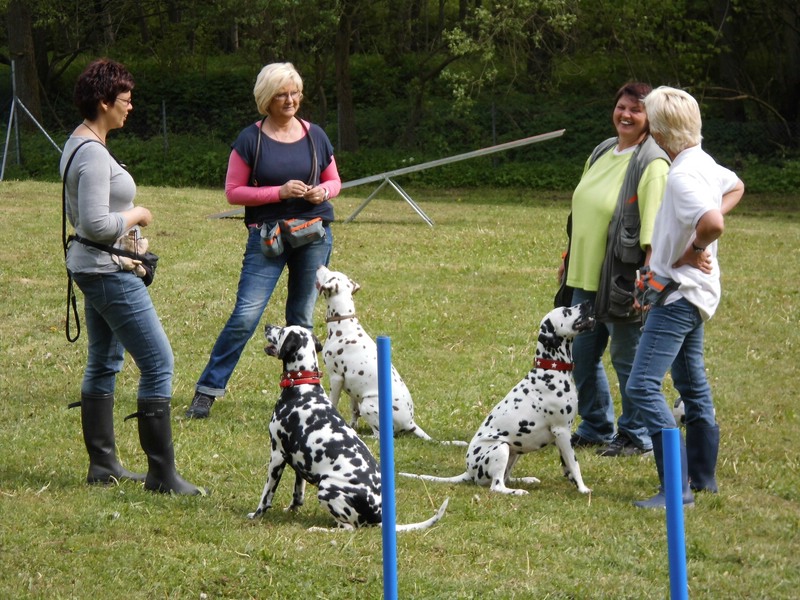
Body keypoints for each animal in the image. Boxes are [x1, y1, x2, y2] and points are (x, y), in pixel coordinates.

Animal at [248, 326, 446, 532]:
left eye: (282, 331)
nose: (267, 326)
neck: (302, 389)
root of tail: (378, 518)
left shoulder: (277, 455)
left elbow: (267, 495)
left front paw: (256, 515)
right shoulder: (298, 461)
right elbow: (298, 494)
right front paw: (291, 510)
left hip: (326, 488)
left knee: (348, 528)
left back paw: (318, 529)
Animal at [314, 264, 450, 442]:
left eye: (328, 275)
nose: (320, 265)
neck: (344, 326)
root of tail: (411, 423)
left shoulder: (336, 378)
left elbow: (333, 403)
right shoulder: (351, 388)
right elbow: (353, 412)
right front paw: (350, 427)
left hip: (368, 405)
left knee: (379, 435)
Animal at [400, 304, 592, 496]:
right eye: (566, 311)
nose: (586, 304)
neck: (551, 370)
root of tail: (468, 471)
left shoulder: (561, 436)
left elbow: (567, 463)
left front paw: (574, 482)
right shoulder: (562, 431)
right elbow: (574, 463)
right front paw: (583, 488)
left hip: (515, 453)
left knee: (506, 478)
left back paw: (526, 480)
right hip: (501, 448)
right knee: (497, 486)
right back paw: (518, 491)